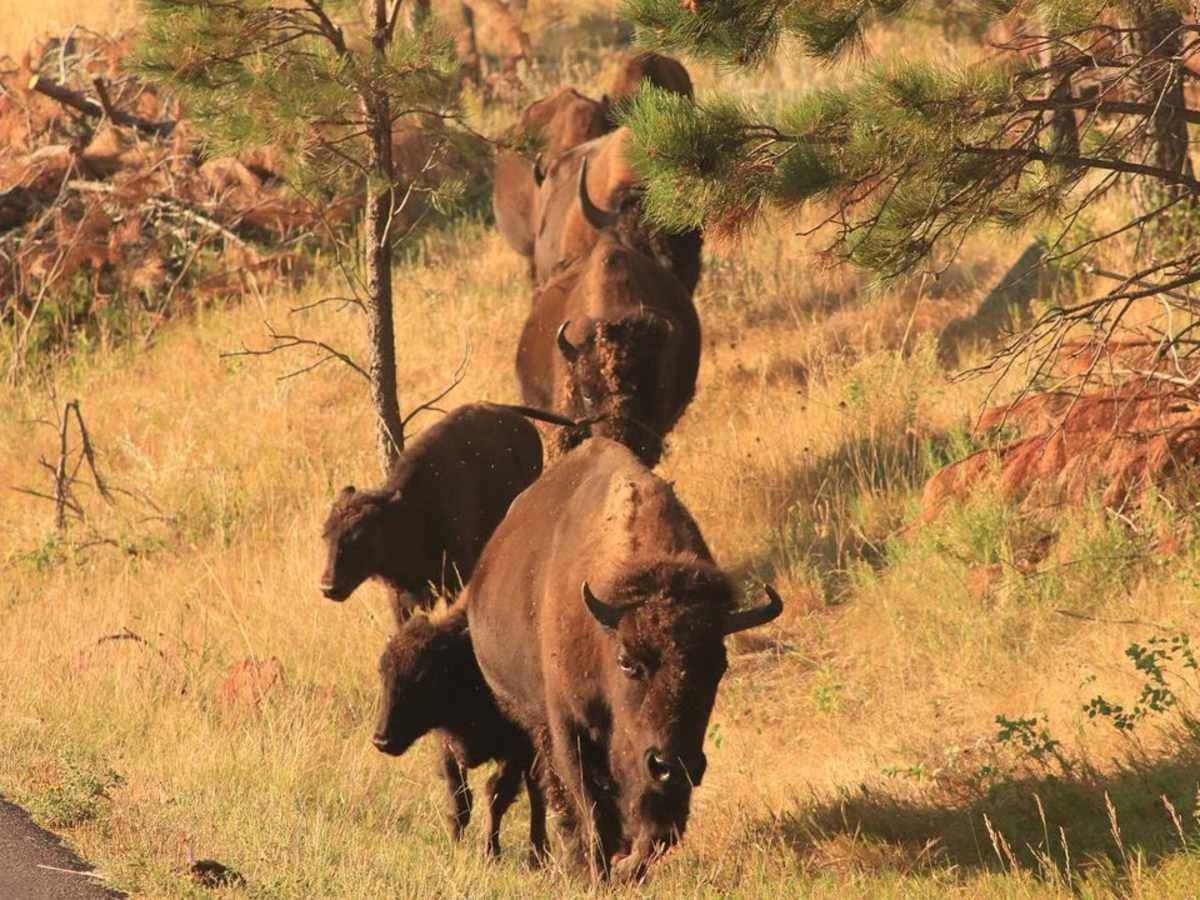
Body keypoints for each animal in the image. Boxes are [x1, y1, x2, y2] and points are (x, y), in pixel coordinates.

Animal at [319, 402, 561, 624]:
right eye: (325, 535)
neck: (406, 509)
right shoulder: (401, 598)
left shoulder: (455, 580)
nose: (328, 587)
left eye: (360, 535)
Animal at [374, 606, 546, 861]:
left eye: (424, 676)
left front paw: (490, 853)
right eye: (382, 671)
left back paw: (537, 856)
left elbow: (496, 796)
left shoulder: (516, 751)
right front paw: (455, 844)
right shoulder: (448, 747)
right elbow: (459, 799)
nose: (382, 740)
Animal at [464, 438, 783, 880]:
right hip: (529, 718)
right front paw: (599, 872)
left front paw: (627, 866)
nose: (670, 763)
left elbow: (660, 827)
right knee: (552, 791)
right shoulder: (569, 729)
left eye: (717, 667)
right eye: (628, 662)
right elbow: (591, 807)